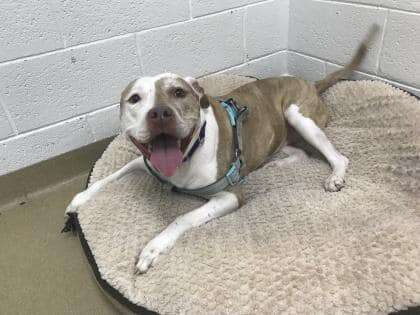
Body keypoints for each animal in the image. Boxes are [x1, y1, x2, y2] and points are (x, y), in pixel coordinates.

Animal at [65, 25, 378, 276]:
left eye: (179, 92)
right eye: (134, 99)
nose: (160, 113)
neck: (186, 157)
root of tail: (311, 84)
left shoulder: (229, 196)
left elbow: (182, 218)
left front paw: (153, 248)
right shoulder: (144, 162)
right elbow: (109, 176)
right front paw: (80, 199)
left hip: (297, 114)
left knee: (337, 156)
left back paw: (335, 176)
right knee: (298, 152)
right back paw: (274, 163)